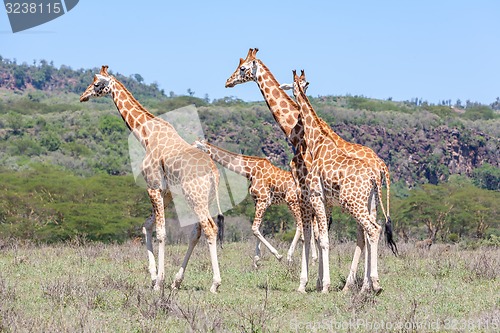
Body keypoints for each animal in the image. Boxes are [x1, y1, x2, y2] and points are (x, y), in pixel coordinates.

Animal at [80, 65, 225, 294]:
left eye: (96, 84)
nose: (82, 96)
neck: (146, 135)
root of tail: (213, 171)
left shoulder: (153, 186)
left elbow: (161, 232)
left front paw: (158, 282)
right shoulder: (166, 192)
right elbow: (147, 225)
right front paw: (154, 275)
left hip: (195, 197)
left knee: (210, 229)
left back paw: (214, 283)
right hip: (205, 198)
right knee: (198, 230)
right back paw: (177, 281)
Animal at [225, 48, 396, 292]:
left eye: (242, 68)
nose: (227, 82)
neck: (297, 134)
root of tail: (381, 166)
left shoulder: (306, 194)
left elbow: (313, 236)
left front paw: (310, 282)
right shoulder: (318, 198)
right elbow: (316, 235)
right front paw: (316, 281)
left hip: (354, 200)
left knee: (366, 232)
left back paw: (359, 284)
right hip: (370, 201)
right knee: (366, 233)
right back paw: (362, 285)